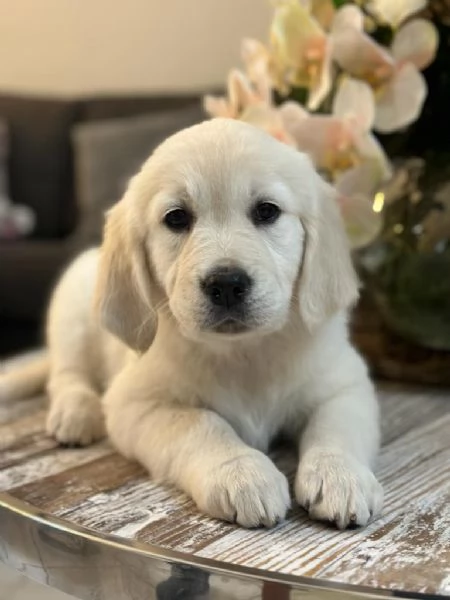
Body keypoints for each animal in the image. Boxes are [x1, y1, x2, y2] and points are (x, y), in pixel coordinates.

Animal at [0, 118, 384, 528]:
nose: (227, 284)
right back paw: (76, 412)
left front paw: (340, 476)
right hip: (72, 312)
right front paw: (242, 473)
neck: (243, 351)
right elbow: (202, 424)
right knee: (66, 374)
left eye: (267, 211)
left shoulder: (346, 384)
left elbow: (336, 427)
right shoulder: (136, 404)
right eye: (176, 217)